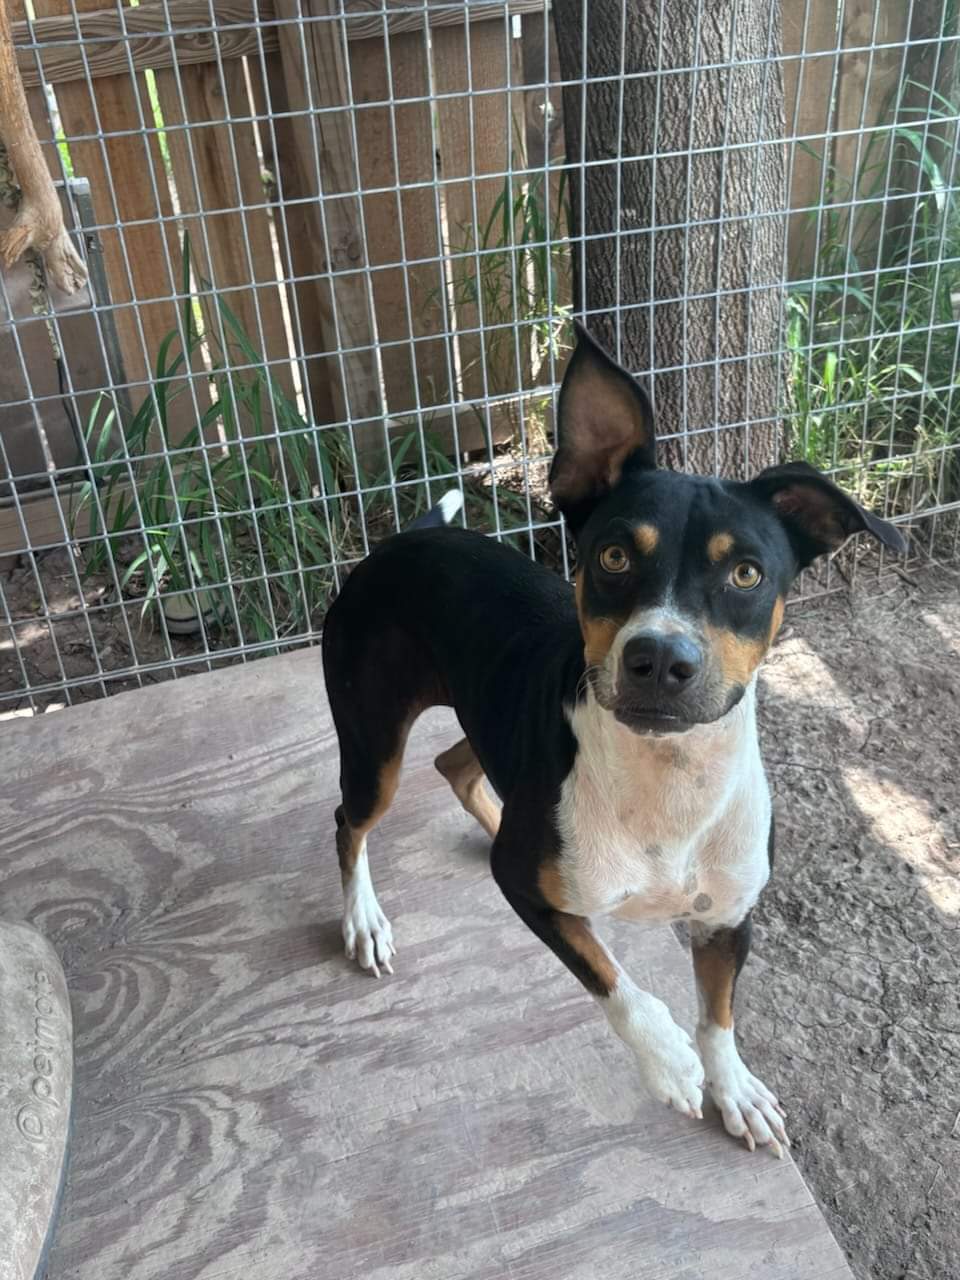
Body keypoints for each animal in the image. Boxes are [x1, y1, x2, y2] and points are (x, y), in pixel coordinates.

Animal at [325, 322, 911, 1162]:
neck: (668, 781)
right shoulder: (531, 891)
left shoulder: (728, 917)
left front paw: (735, 1088)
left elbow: (719, 1015)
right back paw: (364, 921)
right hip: (373, 748)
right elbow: (612, 978)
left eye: (746, 573)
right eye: (612, 555)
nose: (661, 659)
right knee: (351, 822)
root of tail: (402, 541)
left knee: (455, 763)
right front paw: (669, 1060)